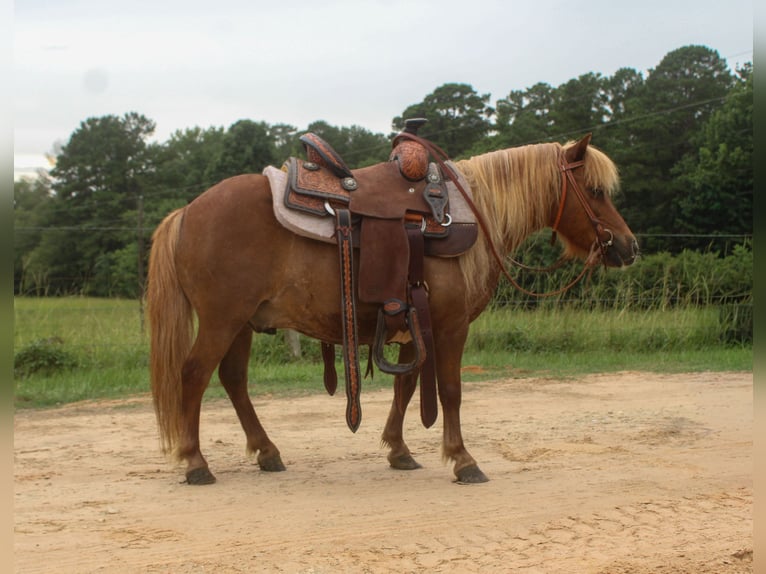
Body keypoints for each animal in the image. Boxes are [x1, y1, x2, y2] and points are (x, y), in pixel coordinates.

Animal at [146, 133, 639, 485]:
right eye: (595, 190)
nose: (628, 246)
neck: (474, 214)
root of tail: (187, 212)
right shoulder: (450, 326)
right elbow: (450, 391)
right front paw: (463, 460)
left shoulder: (411, 322)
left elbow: (406, 388)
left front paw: (400, 452)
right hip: (221, 320)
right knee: (194, 375)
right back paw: (195, 463)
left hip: (243, 323)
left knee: (233, 380)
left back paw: (267, 452)